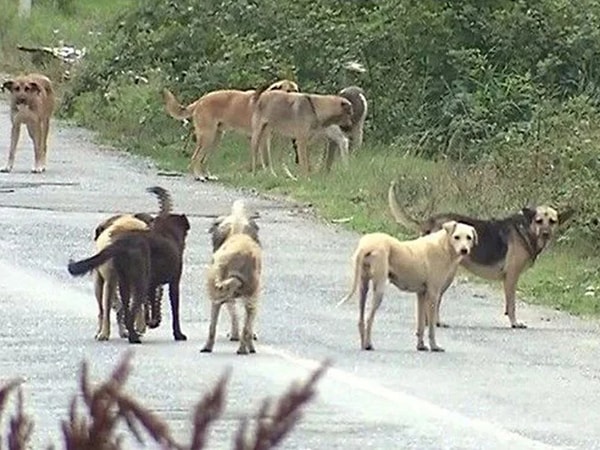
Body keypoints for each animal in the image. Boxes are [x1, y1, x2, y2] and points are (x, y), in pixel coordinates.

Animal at [67, 186, 190, 344]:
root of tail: (121, 238)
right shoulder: (173, 282)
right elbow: (174, 310)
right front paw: (177, 334)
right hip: (130, 282)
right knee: (119, 309)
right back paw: (128, 334)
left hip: (115, 282)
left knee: (119, 309)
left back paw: (122, 331)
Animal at [163, 79, 298, 181]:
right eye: (288, 91)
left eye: (296, 90)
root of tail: (201, 100)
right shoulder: (262, 138)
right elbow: (266, 159)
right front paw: (271, 176)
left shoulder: (268, 138)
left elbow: (272, 159)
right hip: (207, 136)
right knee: (195, 157)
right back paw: (199, 176)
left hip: (216, 139)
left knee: (204, 160)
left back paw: (207, 176)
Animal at [386, 181, 576, 328]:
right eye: (539, 221)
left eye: (552, 221)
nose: (546, 234)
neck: (526, 229)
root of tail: (430, 220)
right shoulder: (512, 277)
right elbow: (512, 304)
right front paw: (514, 323)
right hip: (446, 274)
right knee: (434, 300)